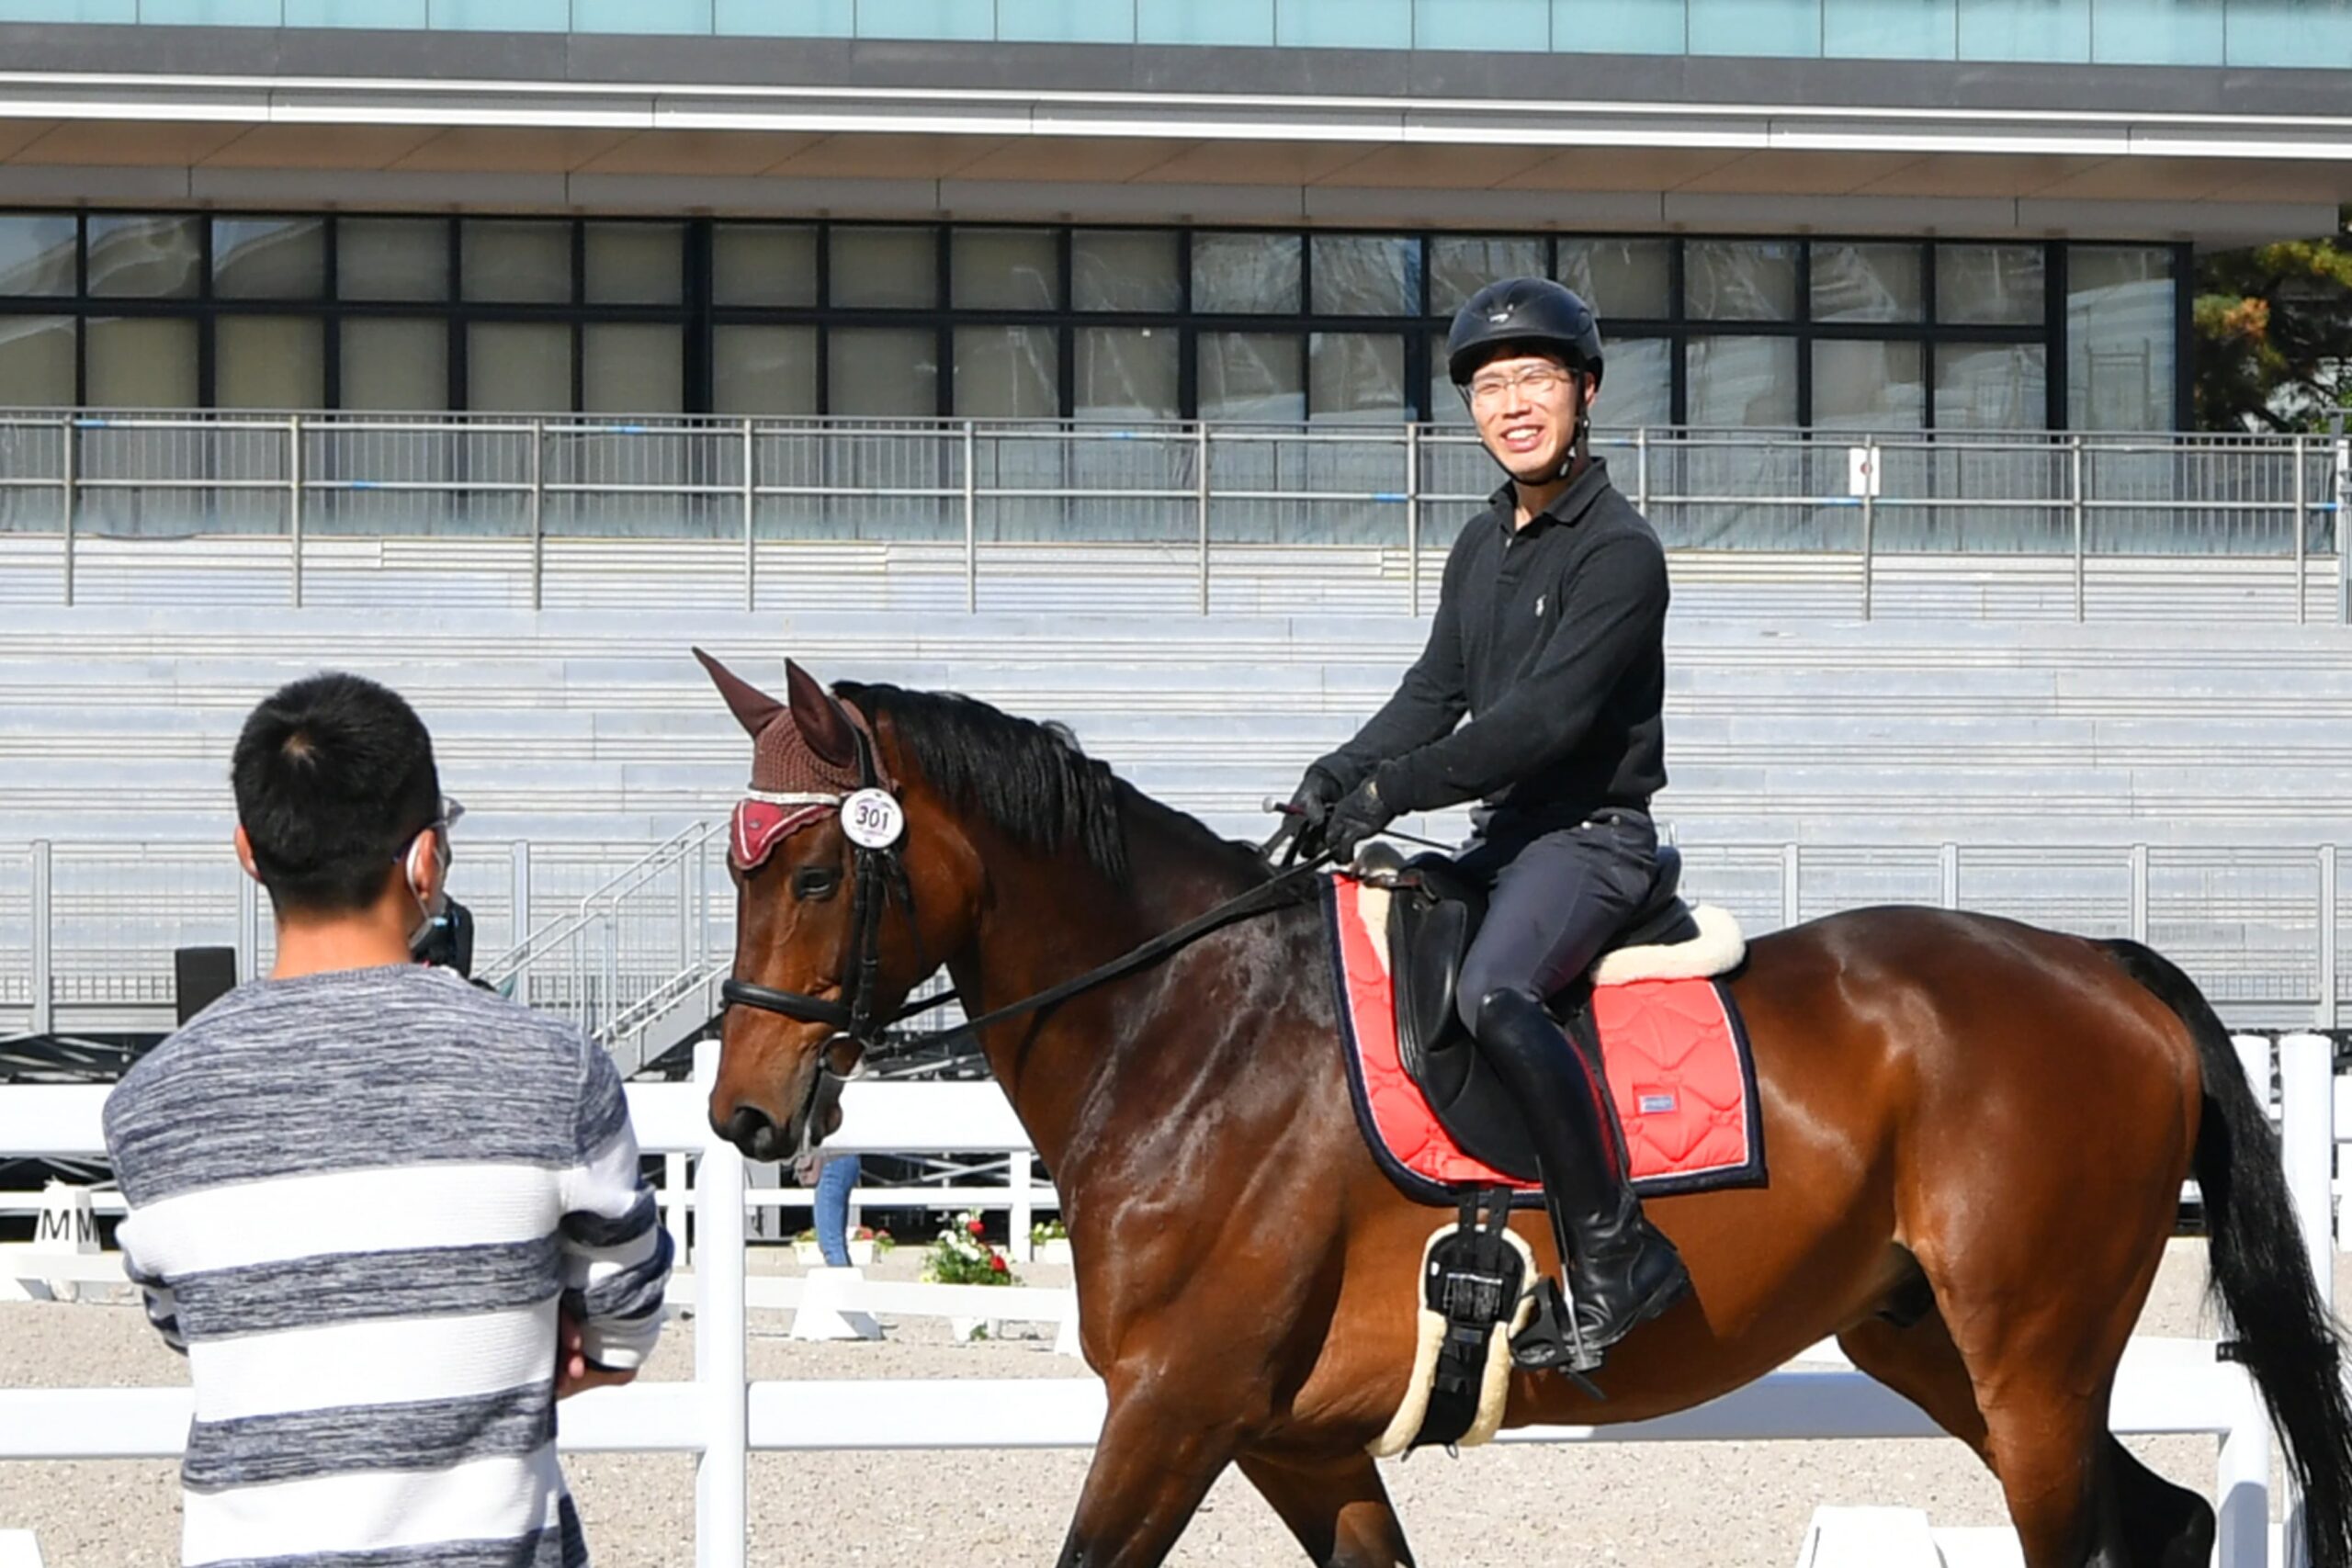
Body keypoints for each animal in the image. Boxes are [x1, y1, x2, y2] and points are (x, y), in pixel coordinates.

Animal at [700, 658, 2352, 1568]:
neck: (1186, 1028)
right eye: (737, 866)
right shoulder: (1292, 1439)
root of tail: (2099, 964)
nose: (744, 1115)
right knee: (2166, 1522)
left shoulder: (1176, 1407)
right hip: (1928, 1337)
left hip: (2031, 1357)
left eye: (817, 871)